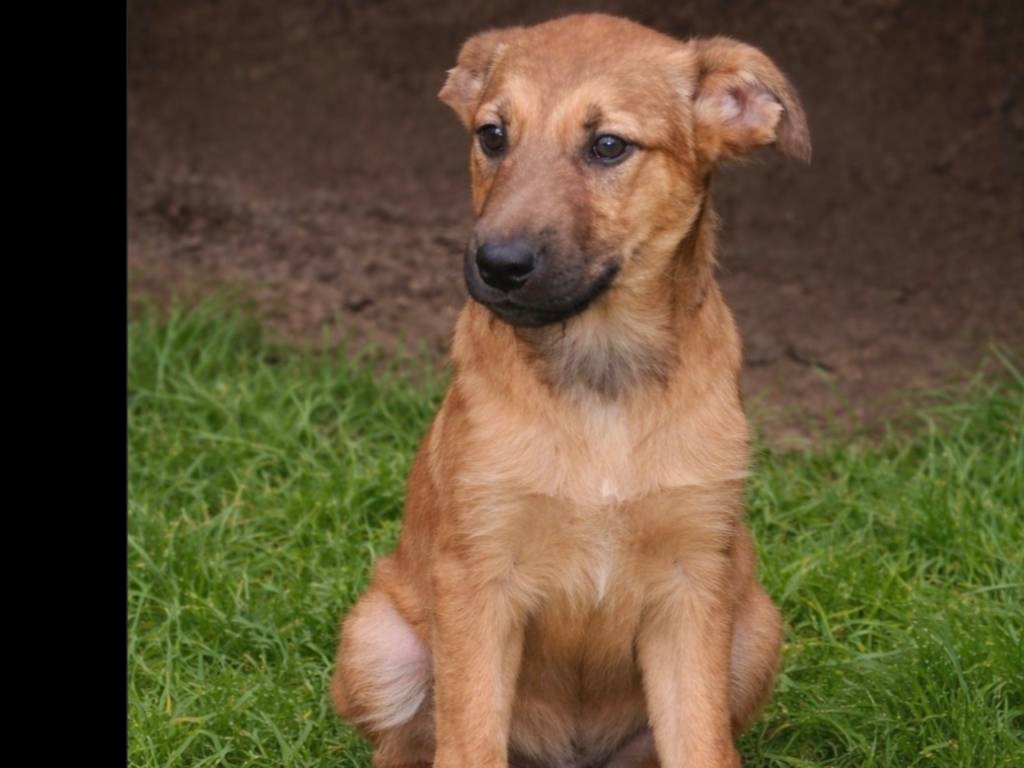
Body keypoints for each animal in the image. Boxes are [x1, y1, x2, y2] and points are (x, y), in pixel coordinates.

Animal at [331, 13, 810, 768]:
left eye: (608, 145)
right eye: (492, 135)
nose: (497, 265)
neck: (600, 376)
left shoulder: (694, 584)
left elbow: (702, 743)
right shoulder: (478, 577)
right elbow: (469, 743)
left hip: (754, 628)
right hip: (377, 641)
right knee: (405, 742)